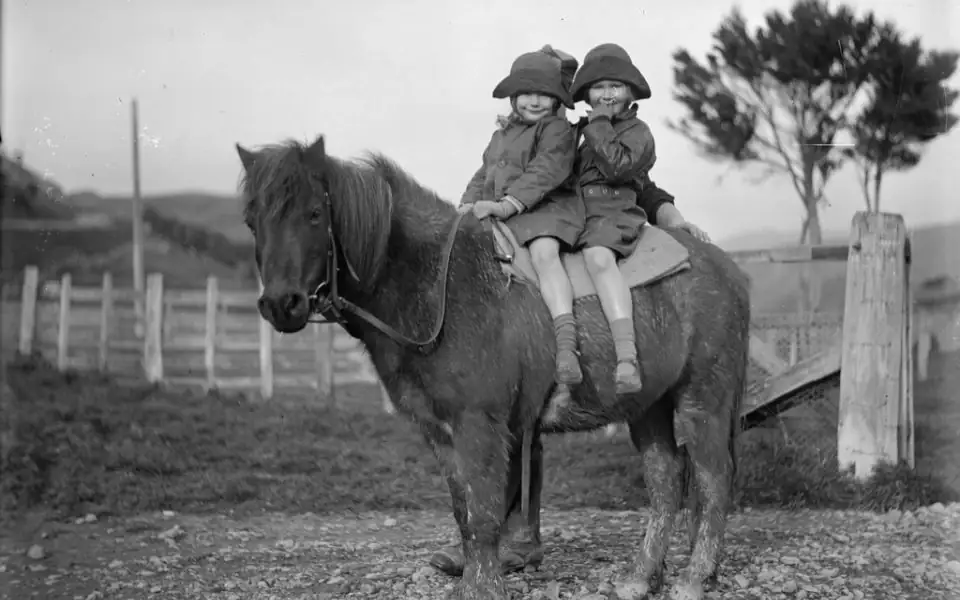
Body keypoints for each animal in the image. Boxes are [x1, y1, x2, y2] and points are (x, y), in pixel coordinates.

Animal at [235, 135, 750, 600]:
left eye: (314, 214)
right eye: (252, 221)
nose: (281, 304)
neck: (436, 286)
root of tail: (727, 267)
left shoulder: (479, 425)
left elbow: (484, 512)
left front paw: (484, 587)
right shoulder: (439, 431)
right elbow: (464, 512)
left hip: (703, 400)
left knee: (714, 480)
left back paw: (693, 578)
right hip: (648, 405)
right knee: (665, 480)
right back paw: (641, 577)